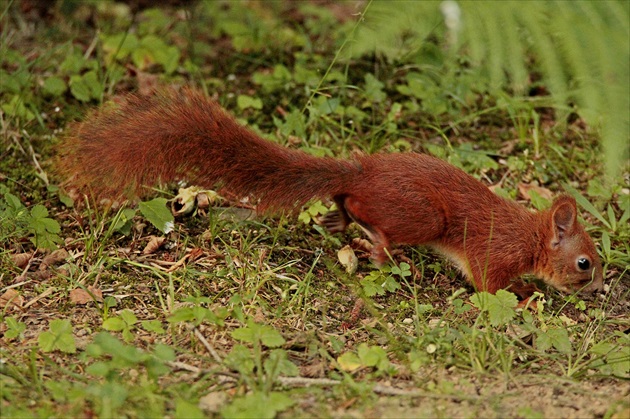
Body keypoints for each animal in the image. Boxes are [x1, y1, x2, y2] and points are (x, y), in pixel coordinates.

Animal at [59, 88, 608, 298]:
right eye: (585, 262)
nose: (602, 287)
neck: (531, 237)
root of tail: (361, 171)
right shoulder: (494, 254)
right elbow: (491, 287)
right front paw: (526, 298)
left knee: (347, 204)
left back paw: (339, 222)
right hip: (422, 217)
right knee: (376, 222)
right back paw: (380, 250)